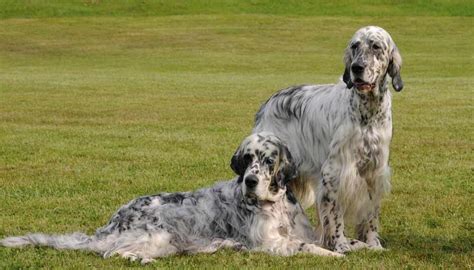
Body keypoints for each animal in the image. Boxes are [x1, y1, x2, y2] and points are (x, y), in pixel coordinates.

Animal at [0, 133, 340, 264]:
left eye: (268, 160)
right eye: (247, 159)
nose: (251, 181)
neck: (277, 208)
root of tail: (111, 222)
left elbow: (317, 240)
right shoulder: (270, 244)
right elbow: (306, 247)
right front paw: (334, 256)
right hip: (159, 236)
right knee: (112, 253)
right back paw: (141, 259)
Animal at [254, 26, 402, 252]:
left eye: (376, 46)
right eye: (355, 46)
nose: (357, 68)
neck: (367, 113)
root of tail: (268, 102)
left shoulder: (374, 172)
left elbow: (370, 216)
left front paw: (372, 244)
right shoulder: (334, 174)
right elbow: (335, 215)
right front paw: (340, 245)